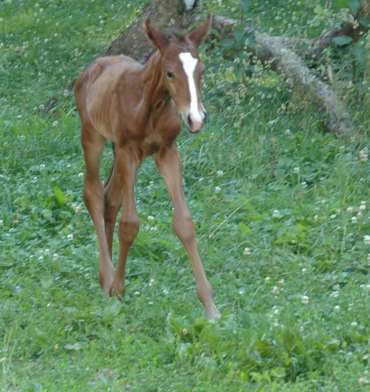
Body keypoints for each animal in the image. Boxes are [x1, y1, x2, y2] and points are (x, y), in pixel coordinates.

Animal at [74, 16, 220, 320]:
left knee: (110, 199)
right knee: (93, 193)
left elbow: (184, 223)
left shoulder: (167, 152)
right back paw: (107, 278)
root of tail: (91, 68)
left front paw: (210, 307)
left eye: (201, 70)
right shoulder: (128, 151)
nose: (196, 118)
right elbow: (130, 224)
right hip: (93, 136)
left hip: (124, 153)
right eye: (170, 73)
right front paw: (118, 288)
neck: (151, 104)